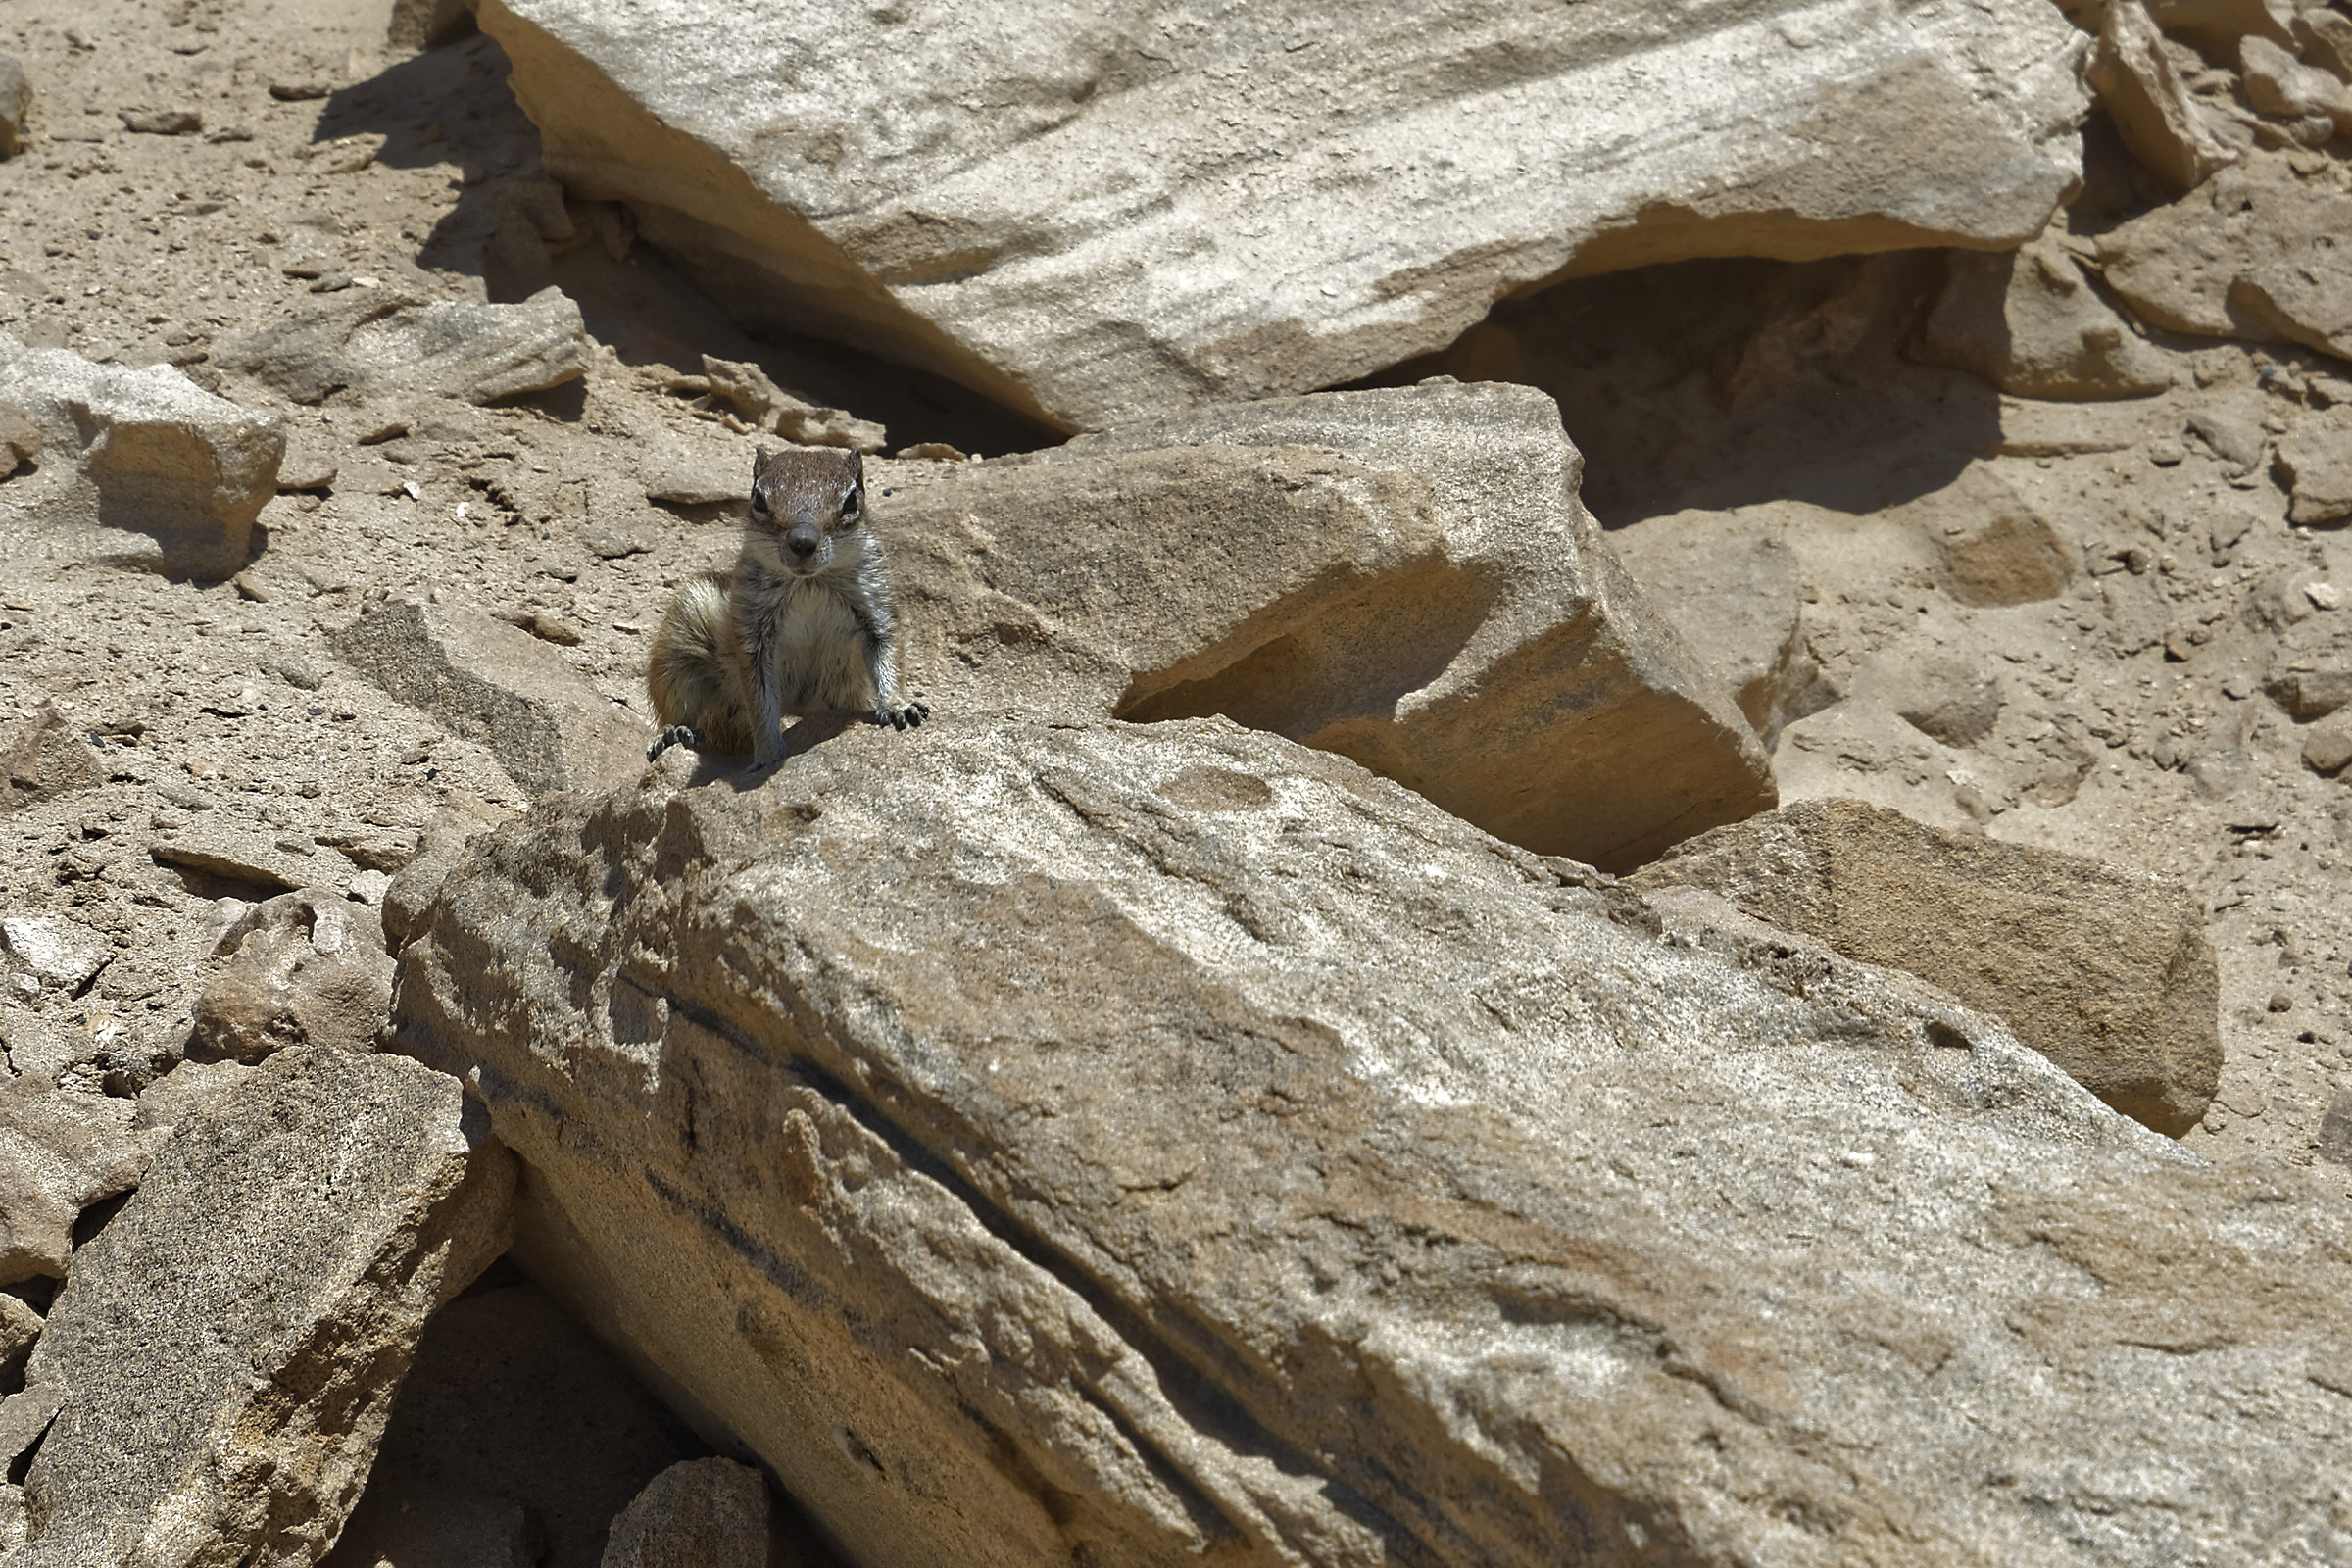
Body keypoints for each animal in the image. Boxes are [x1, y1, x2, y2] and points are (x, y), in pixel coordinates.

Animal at [645, 444, 928, 765]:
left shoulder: (875, 606)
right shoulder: (753, 635)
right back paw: (673, 733)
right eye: (758, 499)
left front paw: (897, 705)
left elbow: (888, 653)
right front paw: (768, 754)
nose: (803, 541)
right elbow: (760, 702)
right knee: (678, 704)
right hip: (681, 638)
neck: (809, 584)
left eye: (851, 501)